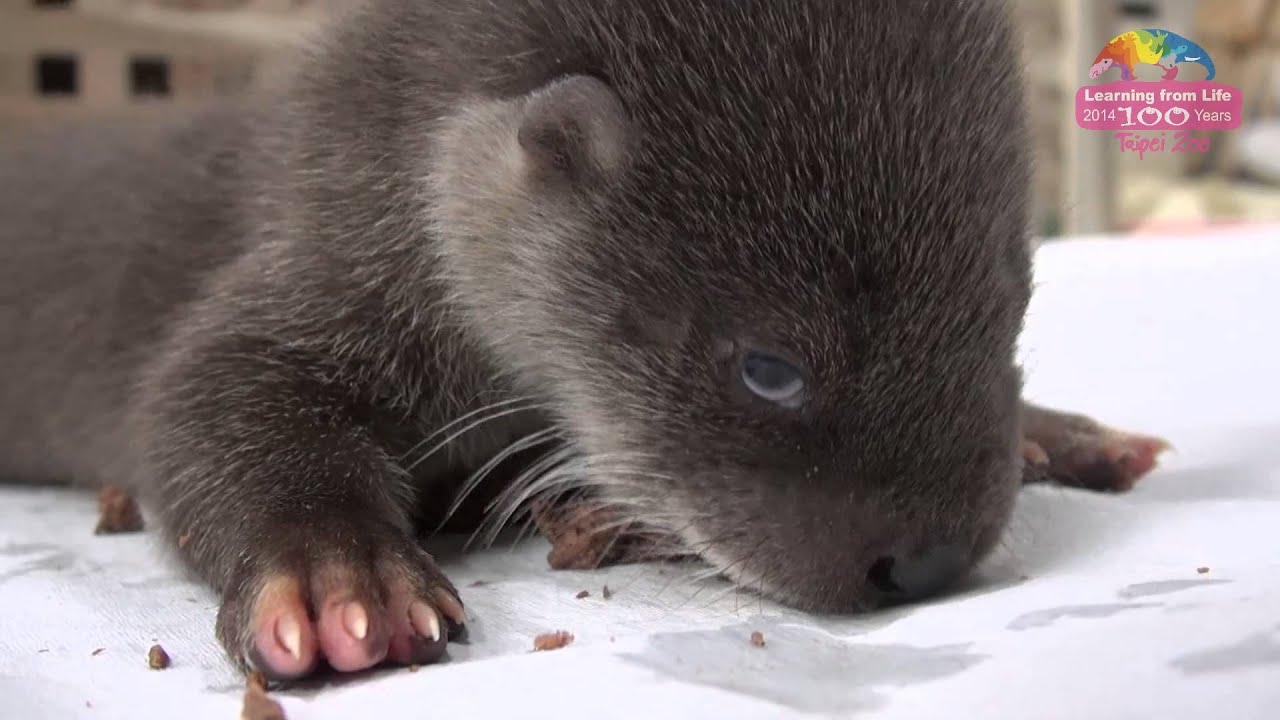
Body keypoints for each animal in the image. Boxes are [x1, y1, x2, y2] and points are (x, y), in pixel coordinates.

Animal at [0, 0, 1168, 680]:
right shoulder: (324, 248)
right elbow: (198, 393)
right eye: (770, 369)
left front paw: (1060, 432)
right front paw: (334, 575)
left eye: (1010, 310)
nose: (926, 560)